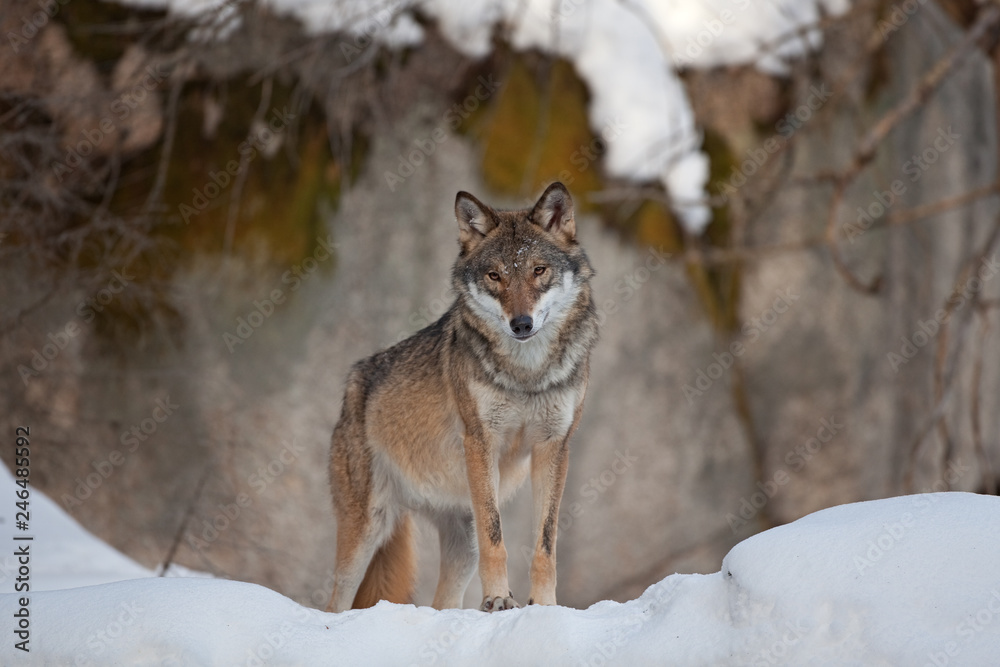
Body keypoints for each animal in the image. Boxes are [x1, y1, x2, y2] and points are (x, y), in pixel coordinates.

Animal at [325, 182, 598, 613]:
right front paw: (499, 599)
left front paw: (545, 607)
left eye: (538, 270)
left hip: (458, 544)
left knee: (442, 602)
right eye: (495, 276)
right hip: (367, 529)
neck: (526, 373)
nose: (522, 324)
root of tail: (354, 383)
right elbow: (496, 538)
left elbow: (545, 544)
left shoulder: (554, 446)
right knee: (333, 602)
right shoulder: (481, 440)